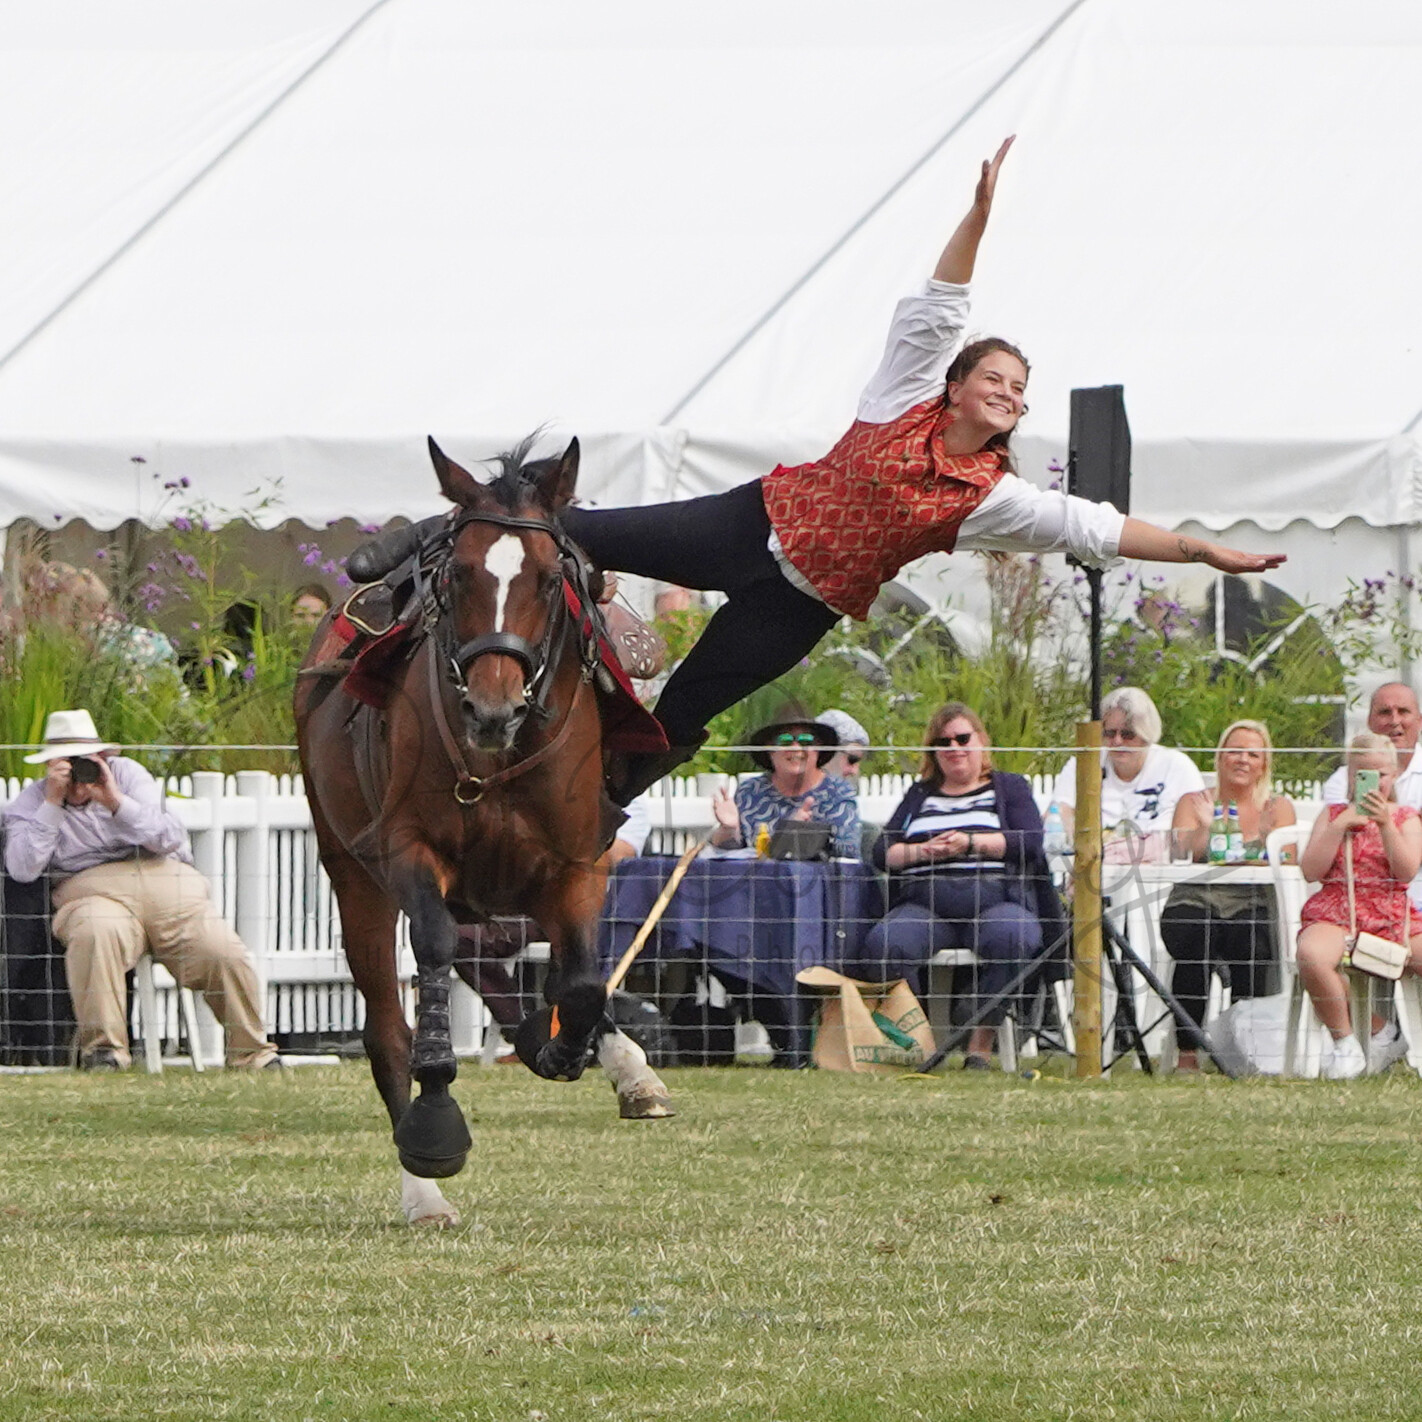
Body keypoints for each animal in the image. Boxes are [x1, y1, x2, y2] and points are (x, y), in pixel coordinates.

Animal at [294, 437, 671, 1228]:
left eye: (550, 577)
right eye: (459, 572)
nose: (492, 708)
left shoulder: (576, 863)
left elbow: (581, 980)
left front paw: (564, 1049)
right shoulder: (407, 852)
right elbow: (434, 953)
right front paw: (434, 1129)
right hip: (353, 874)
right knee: (388, 1024)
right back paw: (423, 1193)